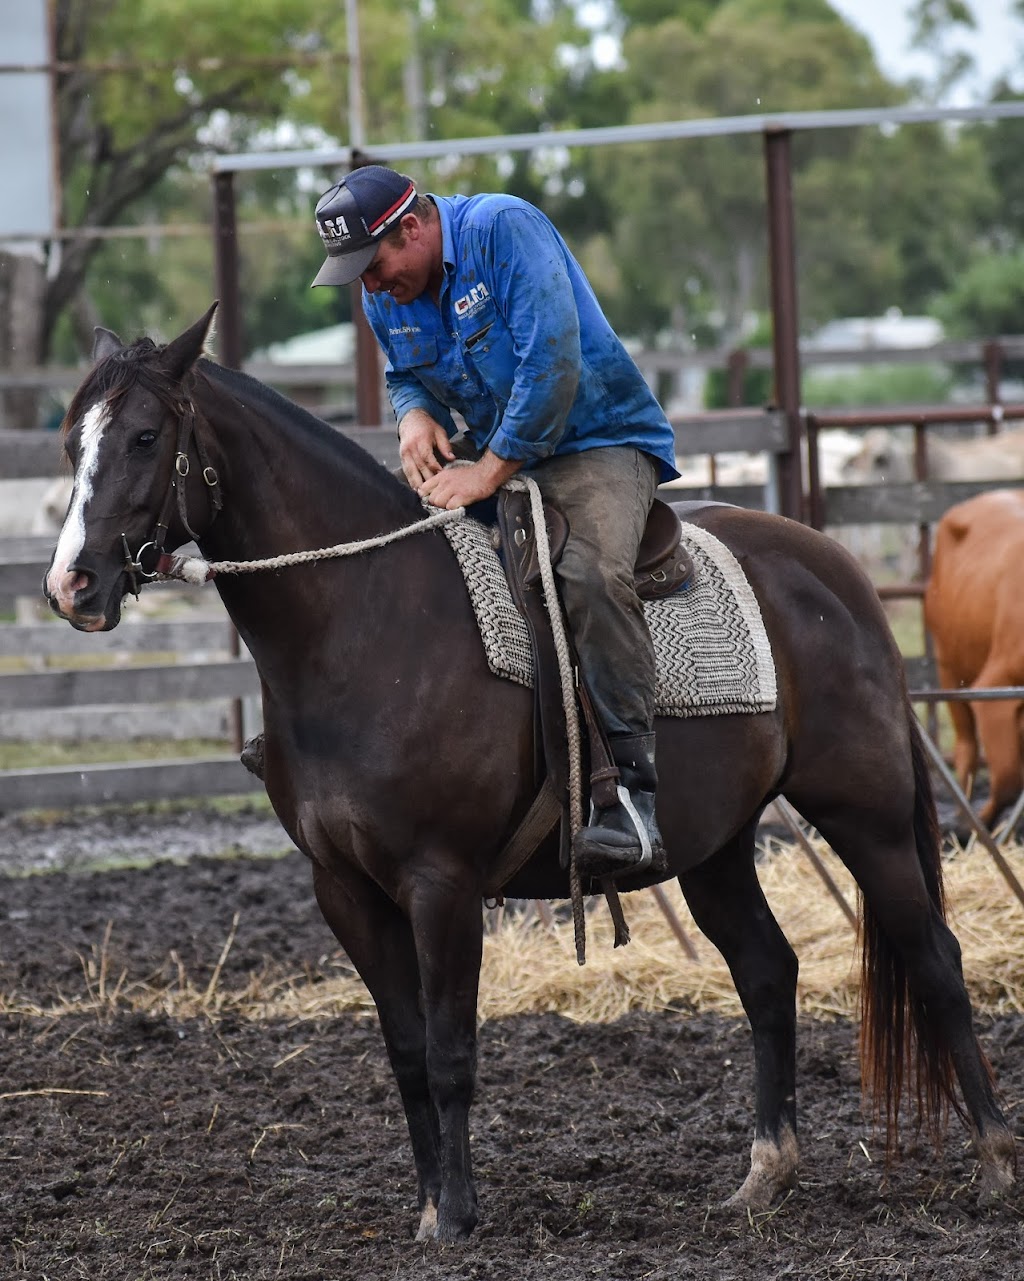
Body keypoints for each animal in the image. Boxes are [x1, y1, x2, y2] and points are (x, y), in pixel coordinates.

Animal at [922, 484, 1024, 824]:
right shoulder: (993, 687)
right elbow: (1008, 780)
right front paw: (983, 822)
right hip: (948, 665)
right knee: (966, 745)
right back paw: (965, 817)